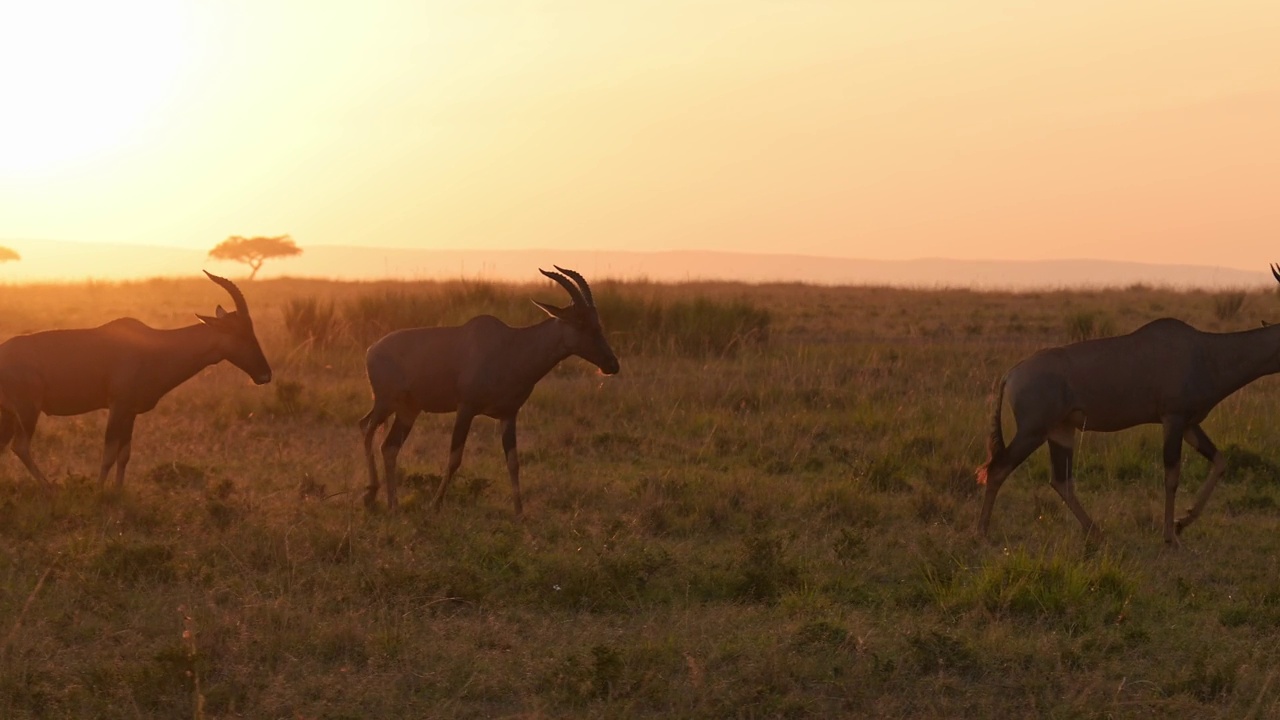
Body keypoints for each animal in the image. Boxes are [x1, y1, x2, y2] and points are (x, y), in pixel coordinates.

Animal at [0, 269, 272, 486]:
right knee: (20, 446)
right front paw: (99, 491)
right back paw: (50, 489)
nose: (265, 375)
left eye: (252, 330)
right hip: (28, 411)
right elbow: (109, 453)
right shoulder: (118, 406)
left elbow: (124, 454)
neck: (152, 346)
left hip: (9, 414)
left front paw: (118, 491)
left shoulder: (130, 412)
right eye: (240, 332)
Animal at [360, 265, 619, 509]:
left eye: (598, 322)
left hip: (408, 410)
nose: (612, 365)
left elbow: (513, 462)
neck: (510, 345)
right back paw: (371, 495)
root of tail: (371, 349)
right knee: (367, 428)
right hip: (385, 402)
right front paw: (435, 505)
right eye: (580, 322)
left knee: (389, 447)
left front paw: (519, 512)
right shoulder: (466, 409)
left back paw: (392, 504)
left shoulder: (508, 415)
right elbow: (454, 458)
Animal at [977, 266, 1280, 540]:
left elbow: (1220, 461)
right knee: (998, 469)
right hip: (1033, 432)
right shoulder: (1173, 419)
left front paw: (1182, 523)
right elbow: (1172, 475)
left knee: (1060, 480)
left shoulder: (1189, 424)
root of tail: (1011, 374)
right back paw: (982, 534)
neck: (1204, 351)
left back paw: (1097, 533)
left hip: (1061, 431)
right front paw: (1170, 537)